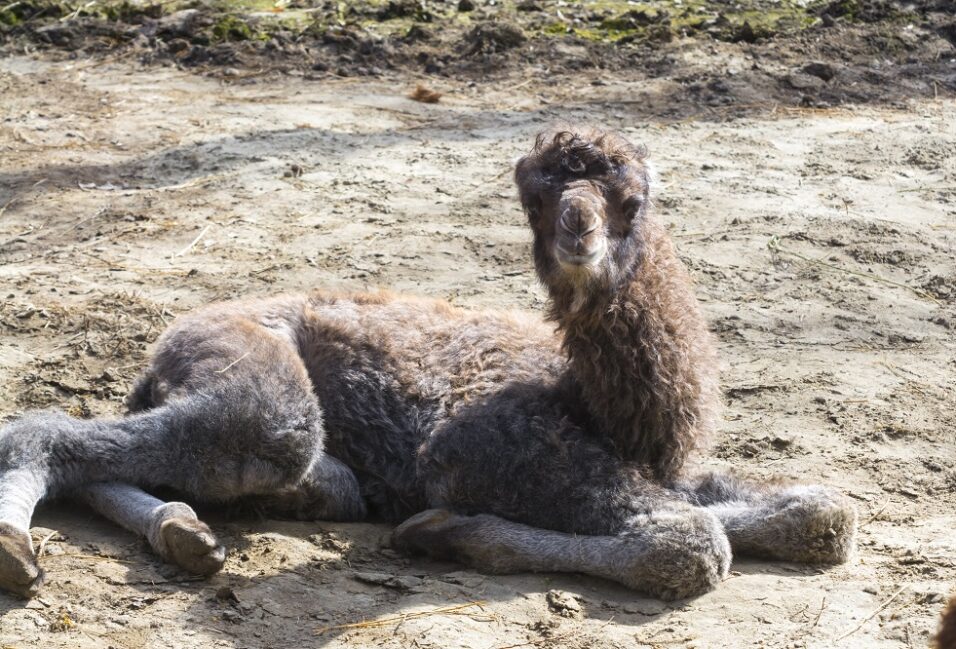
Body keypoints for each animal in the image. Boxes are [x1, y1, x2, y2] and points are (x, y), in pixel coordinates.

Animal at [0, 129, 852, 600]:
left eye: (630, 198)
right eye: (534, 202)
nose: (579, 234)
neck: (598, 401)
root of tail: (163, 347)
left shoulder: (669, 468)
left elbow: (822, 513)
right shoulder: (484, 450)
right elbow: (694, 545)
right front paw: (445, 533)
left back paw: (189, 532)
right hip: (264, 394)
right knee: (50, 426)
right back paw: (22, 549)